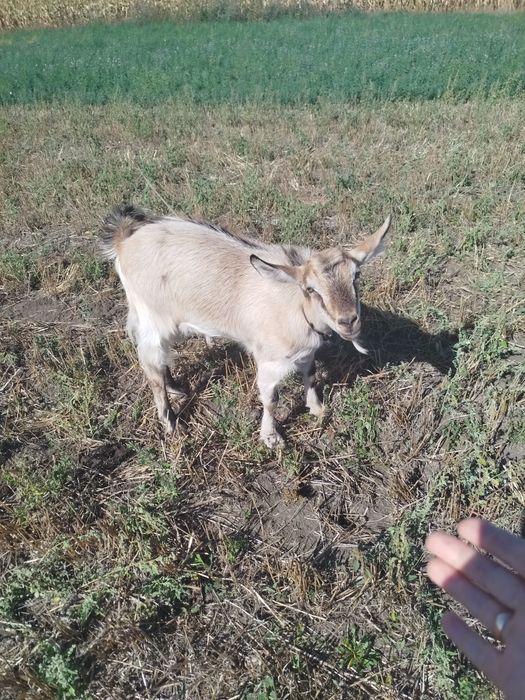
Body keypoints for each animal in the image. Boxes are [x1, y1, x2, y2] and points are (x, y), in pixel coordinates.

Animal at [101, 206, 391, 447]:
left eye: (356, 276)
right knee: (150, 365)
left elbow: (310, 374)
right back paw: (171, 423)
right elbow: (271, 400)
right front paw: (271, 438)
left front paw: (317, 409)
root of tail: (124, 242)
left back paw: (175, 387)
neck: (296, 306)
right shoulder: (270, 361)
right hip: (152, 316)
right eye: (311, 289)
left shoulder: (305, 352)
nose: (348, 320)